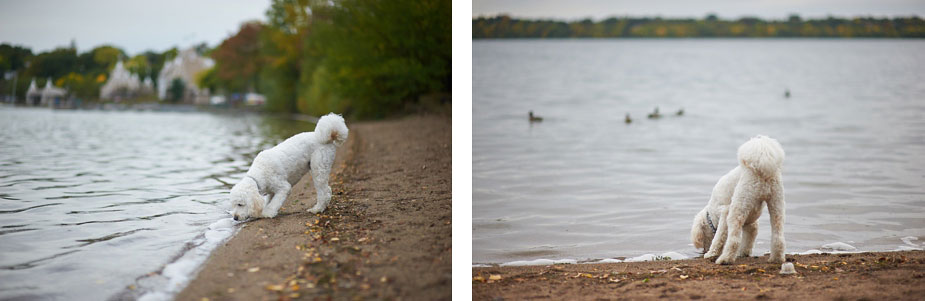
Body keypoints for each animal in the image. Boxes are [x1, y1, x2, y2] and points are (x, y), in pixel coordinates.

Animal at [692, 135, 788, 264]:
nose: (703, 250)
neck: (711, 215)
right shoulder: (751, 224)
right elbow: (749, 238)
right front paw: (744, 253)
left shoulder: (724, 213)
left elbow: (719, 237)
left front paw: (711, 253)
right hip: (777, 202)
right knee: (778, 235)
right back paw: (776, 258)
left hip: (738, 206)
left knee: (734, 240)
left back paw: (725, 259)